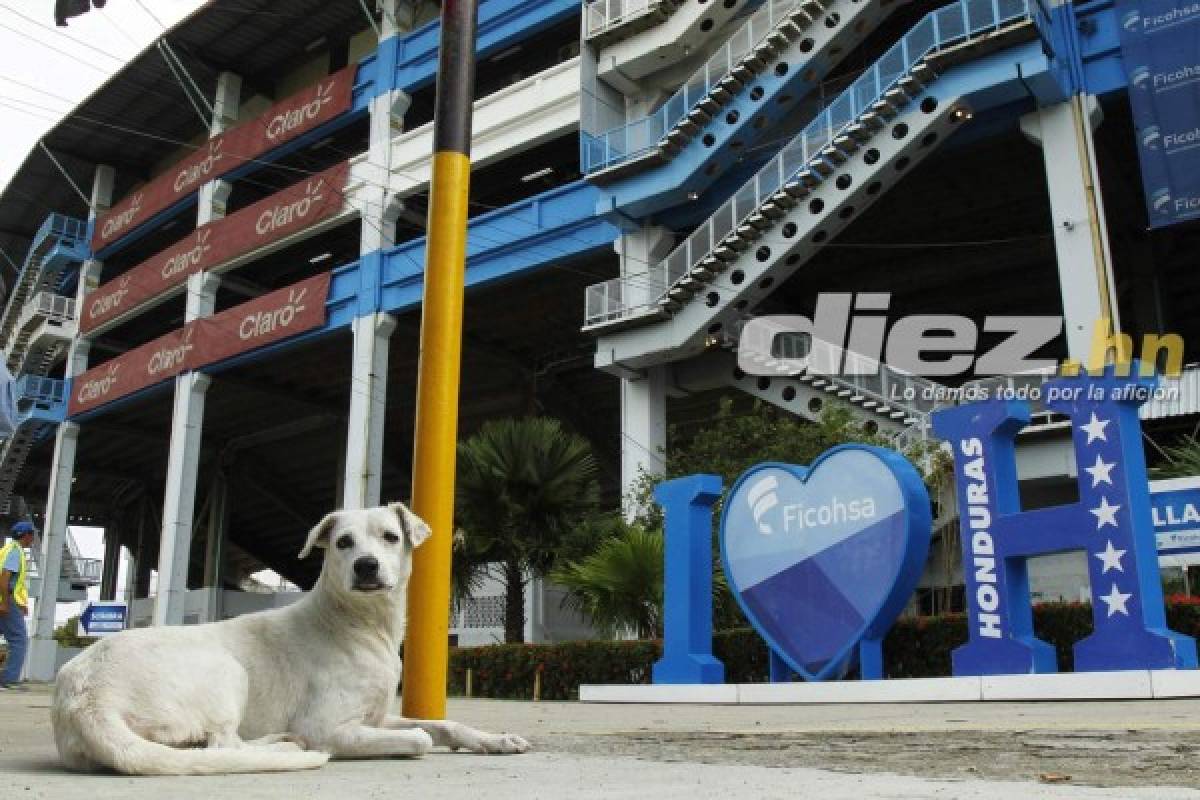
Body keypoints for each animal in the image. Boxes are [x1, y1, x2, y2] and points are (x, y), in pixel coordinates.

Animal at [51, 503, 530, 772]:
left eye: (391, 537)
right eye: (343, 542)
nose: (367, 566)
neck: (358, 625)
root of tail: (85, 698)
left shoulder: (374, 718)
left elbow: (444, 725)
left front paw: (496, 740)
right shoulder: (329, 728)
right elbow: (422, 738)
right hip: (227, 669)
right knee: (223, 744)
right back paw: (281, 746)